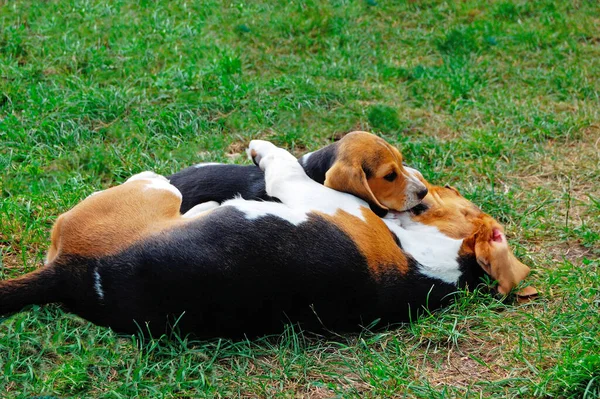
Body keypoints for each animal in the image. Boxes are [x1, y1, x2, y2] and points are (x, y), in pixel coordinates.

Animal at [1, 140, 536, 338]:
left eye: (451, 194)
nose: (426, 182)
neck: (428, 262)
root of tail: (69, 273)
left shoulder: (317, 197)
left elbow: (286, 169)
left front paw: (264, 150)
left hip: (154, 189)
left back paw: (206, 205)